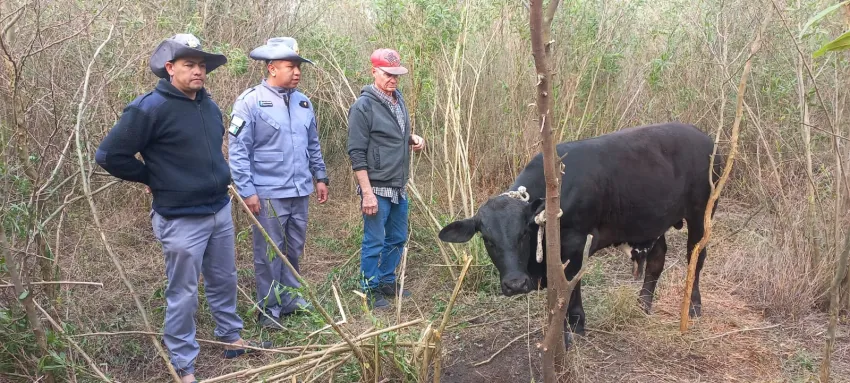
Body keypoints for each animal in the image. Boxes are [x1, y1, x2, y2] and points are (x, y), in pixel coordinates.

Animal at [438, 123, 724, 342]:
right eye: (487, 239)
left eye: (523, 233)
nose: (515, 284)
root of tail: (704, 136)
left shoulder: (575, 246)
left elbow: (570, 290)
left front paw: (573, 329)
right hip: (653, 219)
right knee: (657, 259)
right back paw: (642, 305)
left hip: (702, 213)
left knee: (696, 256)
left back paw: (694, 306)